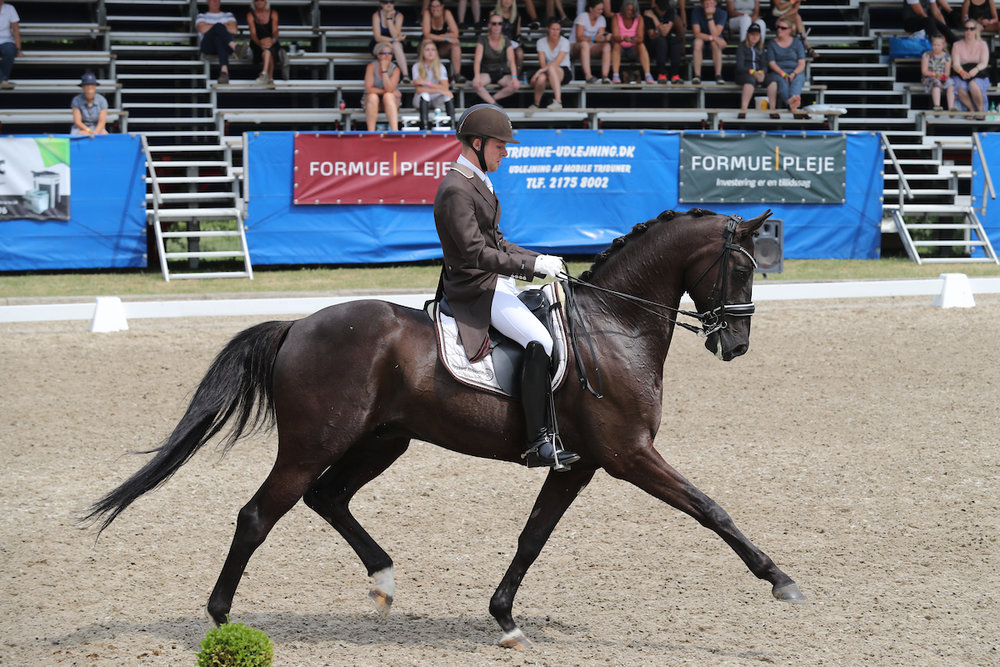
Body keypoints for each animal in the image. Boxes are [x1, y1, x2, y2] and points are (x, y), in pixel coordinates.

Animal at [84, 207, 804, 648]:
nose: (736, 344)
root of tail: (298, 326)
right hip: (316, 441)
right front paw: (780, 580)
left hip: (384, 439)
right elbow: (711, 508)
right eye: (743, 267)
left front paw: (505, 618)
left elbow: (533, 536)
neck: (614, 326)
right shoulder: (630, 454)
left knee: (327, 497)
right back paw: (221, 621)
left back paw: (382, 579)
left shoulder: (581, 463)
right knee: (259, 514)